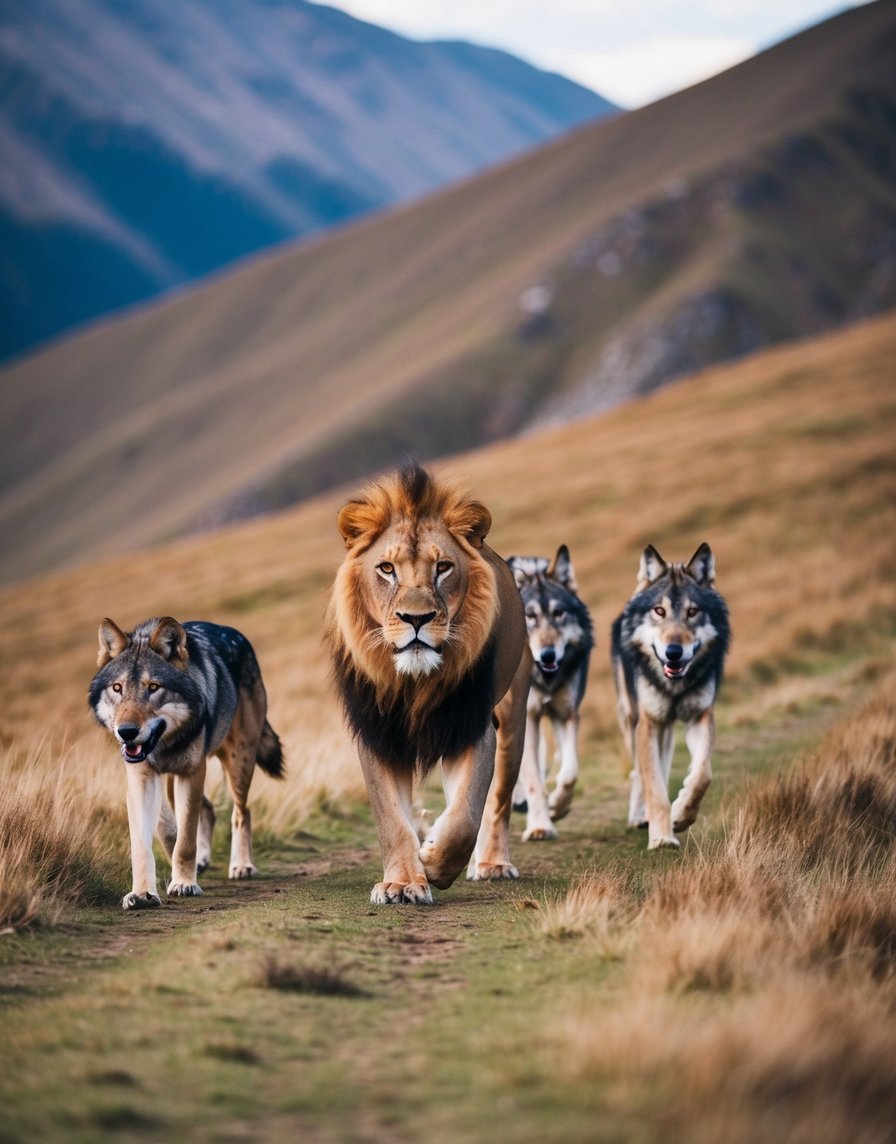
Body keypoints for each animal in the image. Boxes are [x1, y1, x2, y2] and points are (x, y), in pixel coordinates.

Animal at [87, 617, 283, 910]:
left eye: (153, 687)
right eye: (117, 688)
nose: (127, 732)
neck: (164, 744)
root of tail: (233, 631)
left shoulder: (191, 772)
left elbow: (186, 840)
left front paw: (184, 883)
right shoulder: (143, 777)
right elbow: (150, 840)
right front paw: (142, 893)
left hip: (238, 762)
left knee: (241, 812)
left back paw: (241, 866)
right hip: (176, 779)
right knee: (208, 810)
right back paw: (202, 862)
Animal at [324, 462, 528, 901]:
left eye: (443, 567)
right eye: (387, 569)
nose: (415, 619)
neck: (415, 684)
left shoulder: (471, 726)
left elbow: (466, 814)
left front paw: (434, 859)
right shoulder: (379, 732)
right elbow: (390, 820)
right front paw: (402, 882)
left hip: (513, 723)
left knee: (498, 803)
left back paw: (491, 864)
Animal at [508, 544, 590, 841]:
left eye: (558, 614)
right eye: (530, 616)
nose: (548, 655)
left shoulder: (565, 714)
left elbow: (570, 772)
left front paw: (557, 806)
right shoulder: (526, 719)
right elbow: (532, 779)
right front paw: (540, 826)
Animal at [613, 544, 732, 851]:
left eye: (692, 611)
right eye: (659, 611)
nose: (674, 652)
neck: (675, 686)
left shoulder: (700, 717)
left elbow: (702, 774)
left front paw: (680, 816)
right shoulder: (649, 724)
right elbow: (654, 788)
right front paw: (662, 838)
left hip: (665, 728)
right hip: (634, 722)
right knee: (638, 773)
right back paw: (639, 817)